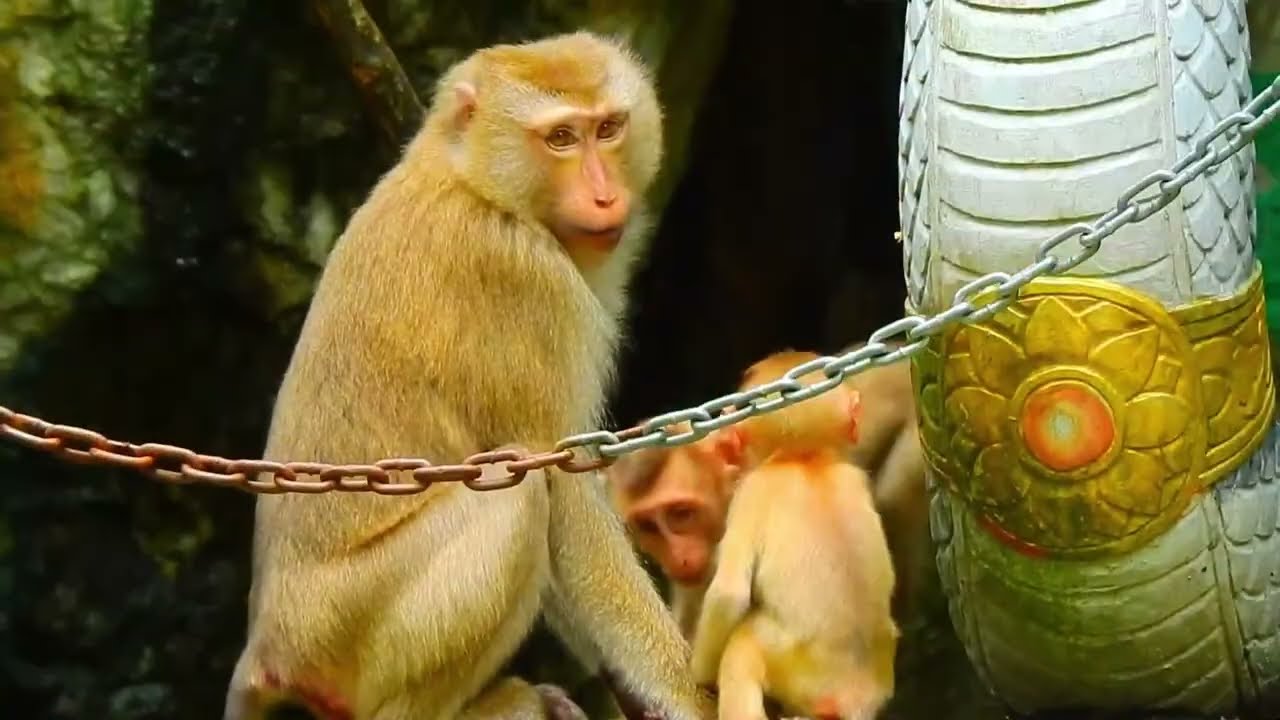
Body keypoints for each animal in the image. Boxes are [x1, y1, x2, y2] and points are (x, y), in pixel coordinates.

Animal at [223, 32, 712, 720]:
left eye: (608, 128)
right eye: (561, 138)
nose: (604, 195)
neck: (475, 181)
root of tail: (265, 646)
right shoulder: (529, 283)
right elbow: (563, 491)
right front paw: (691, 694)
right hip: (344, 634)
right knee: (515, 489)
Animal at [690, 350, 900, 720]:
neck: (805, 459)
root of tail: (851, 696)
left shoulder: (752, 492)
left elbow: (729, 593)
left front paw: (700, 672)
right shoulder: (853, 475)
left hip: (790, 663)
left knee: (740, 651)